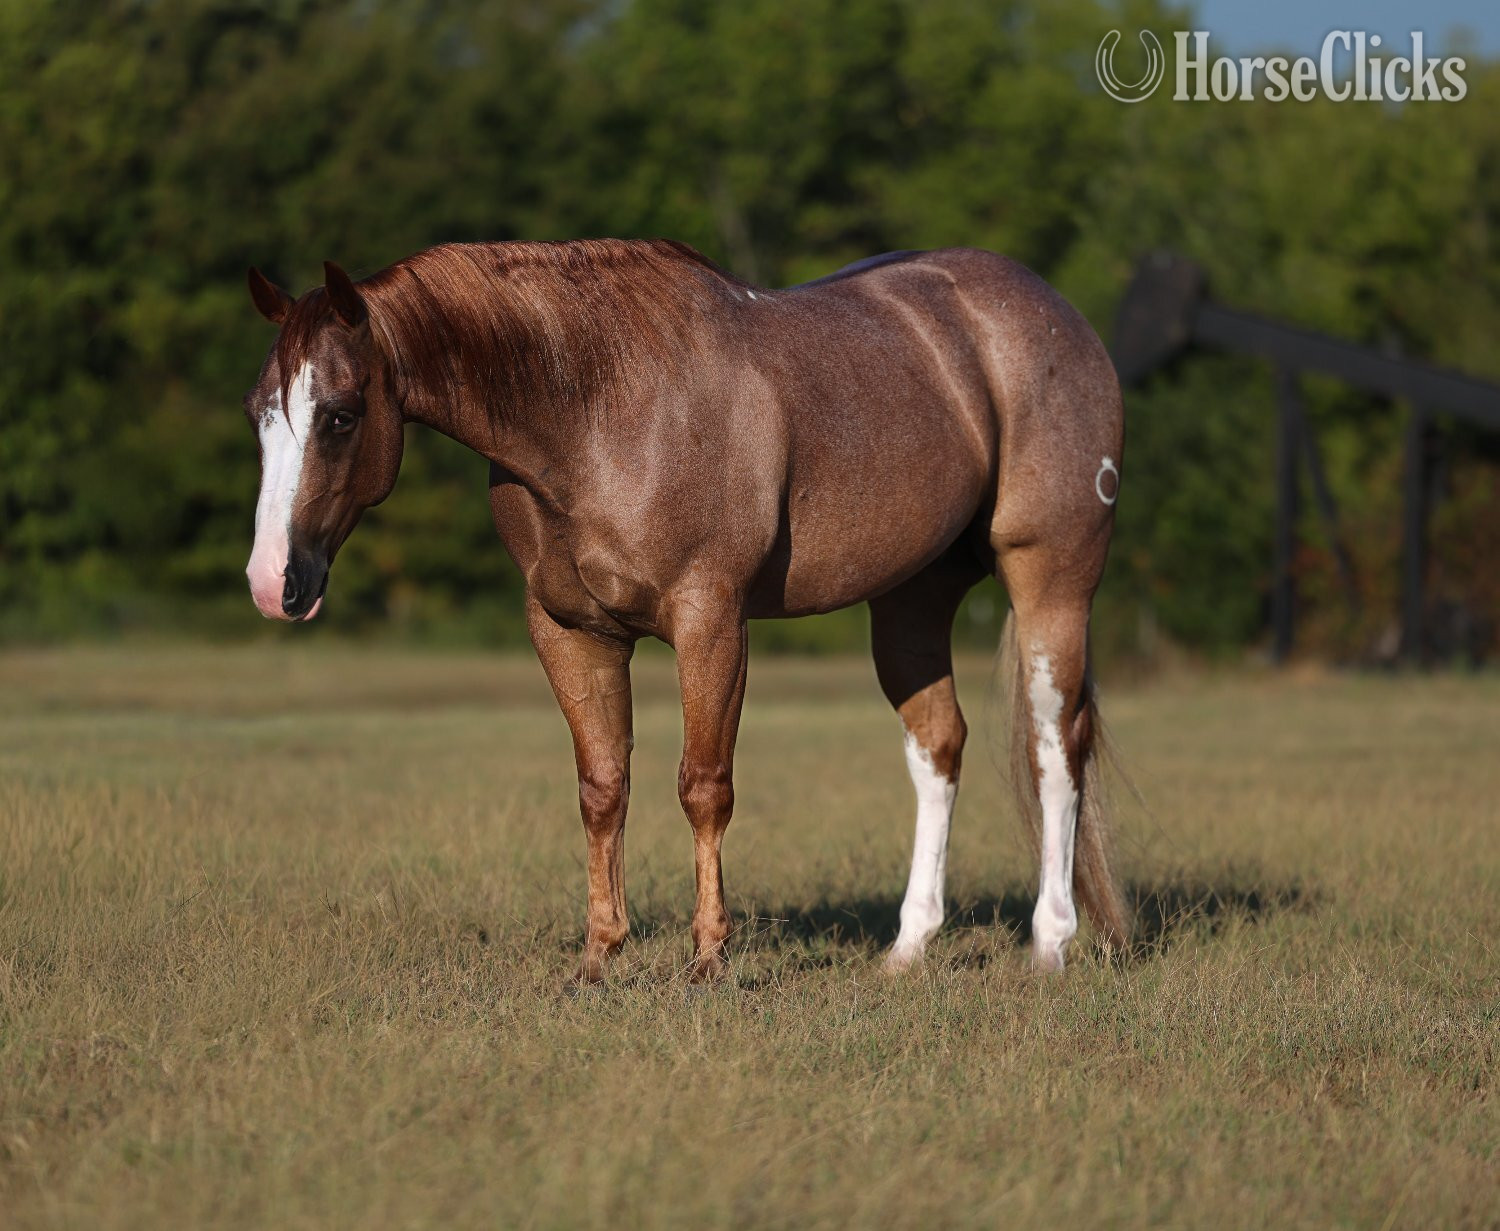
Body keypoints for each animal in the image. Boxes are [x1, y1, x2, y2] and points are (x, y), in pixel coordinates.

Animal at [241, 239, 1131, 982]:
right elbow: (603, 787)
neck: (597, 408)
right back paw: (907, 950)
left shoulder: (710, 622)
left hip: (1051, 578)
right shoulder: (572, 634)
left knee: (1055, 743)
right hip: (911, 598)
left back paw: (1051, 943)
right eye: (260, 412)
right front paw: (599, 957)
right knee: (938, 745)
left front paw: (707, 958)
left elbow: (703, 786)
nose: (271, 581)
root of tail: (1057, 314)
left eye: (340, 413)